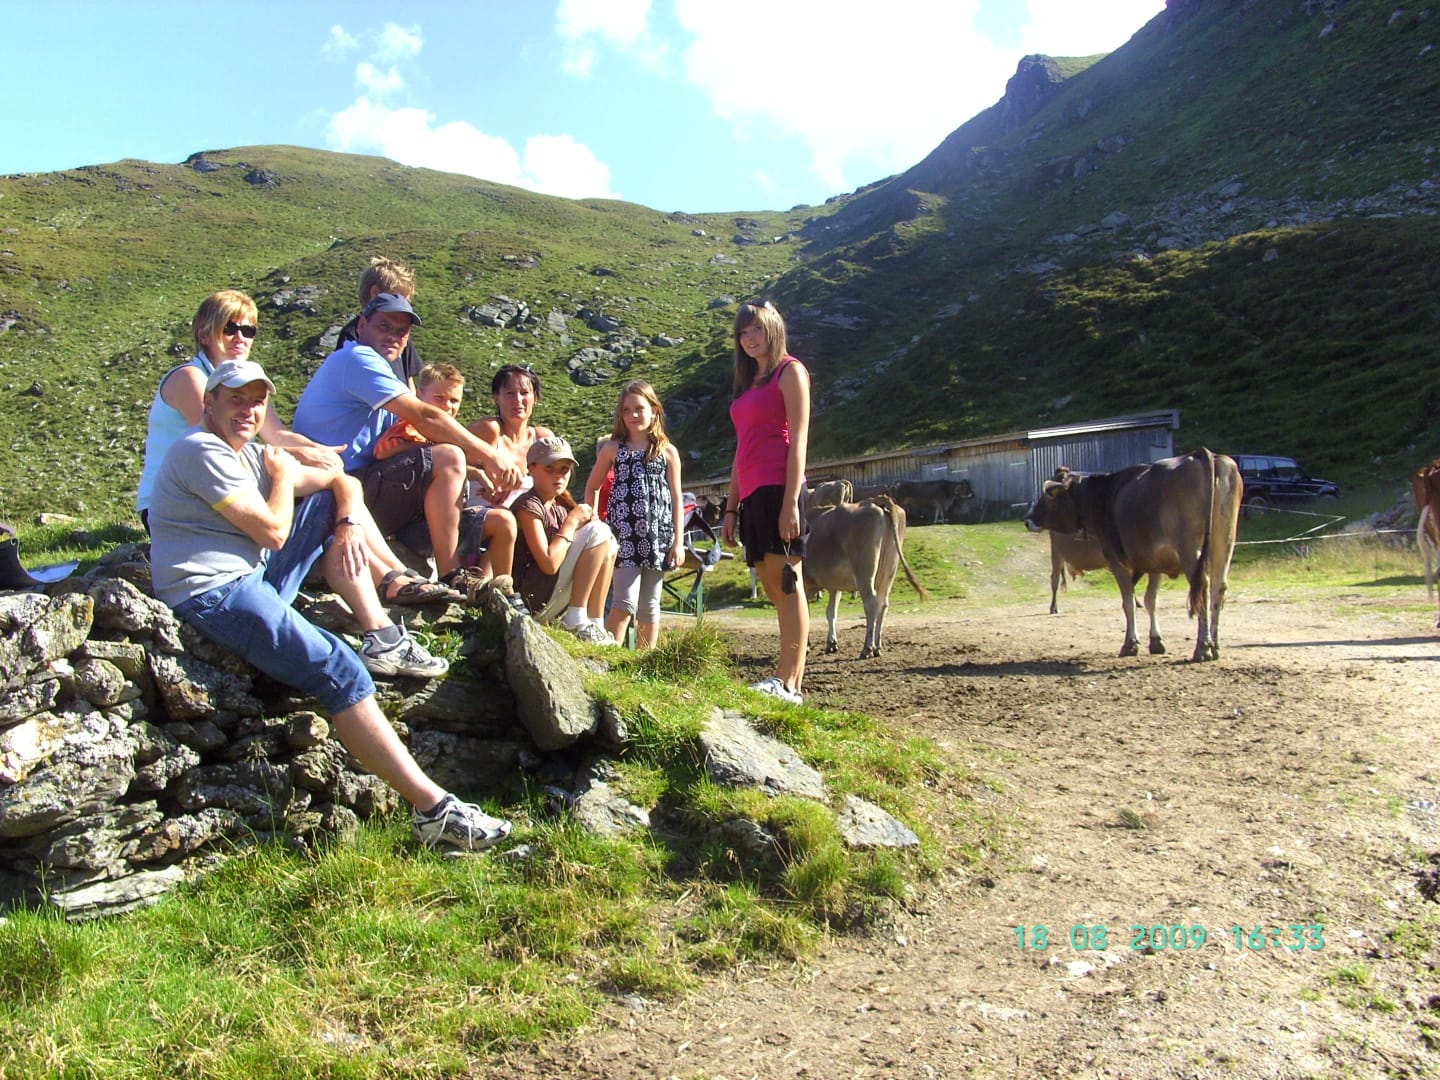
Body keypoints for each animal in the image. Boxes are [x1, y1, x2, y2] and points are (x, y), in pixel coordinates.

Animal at [803, 494, 928, 658]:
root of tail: (873, 501)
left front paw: (806, 646)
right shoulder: (834, 585)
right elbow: (831, 612)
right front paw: (831, 644)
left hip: (865, 572)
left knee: (871, 603)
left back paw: (867, 648)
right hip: (888, 571)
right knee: (883, 603)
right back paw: (877, 647)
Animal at [1023, 449, 1242, 661]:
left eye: (1048, 495)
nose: (1028, 520)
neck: (1103, 497)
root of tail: (1201, 454)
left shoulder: (1116, 560)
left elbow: (1128, 602)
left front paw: (1130, 644)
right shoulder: (1156, 562)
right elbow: (1151, 600)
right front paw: (1156, 641)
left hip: (1188, 548)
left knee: (1202, 586)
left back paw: (1203, 647)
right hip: (1224, 543)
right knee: (1218, 587)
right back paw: (1215, 645)